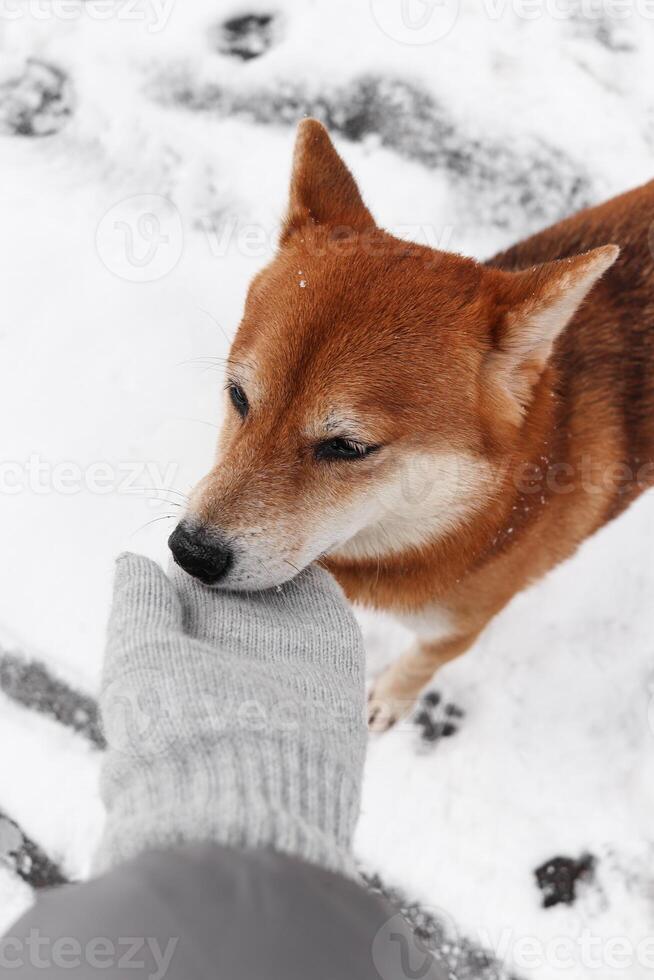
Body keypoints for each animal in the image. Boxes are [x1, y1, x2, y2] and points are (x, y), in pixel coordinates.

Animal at [170, 118, 654, 728]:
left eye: (348, 446)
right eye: (238, 396)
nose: (190, 552)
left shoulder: (458, 629)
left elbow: (420, 664)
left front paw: (385, 703)